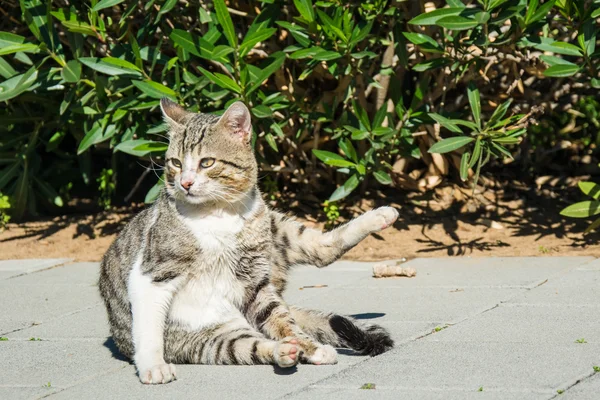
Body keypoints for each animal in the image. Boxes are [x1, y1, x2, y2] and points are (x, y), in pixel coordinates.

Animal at [98, 99, 398, 384]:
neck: (218, 214)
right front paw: (154, 367)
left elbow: (280, 319)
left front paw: (310, 347)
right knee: (249, 345)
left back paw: (382, 215)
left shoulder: (253, 280)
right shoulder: (152, 272)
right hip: (210, 339)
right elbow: (148, 328)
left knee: (321, 253)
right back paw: (283, 351)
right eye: (176, 163)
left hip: (276, 230)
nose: (185, 183)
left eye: (207, 162)